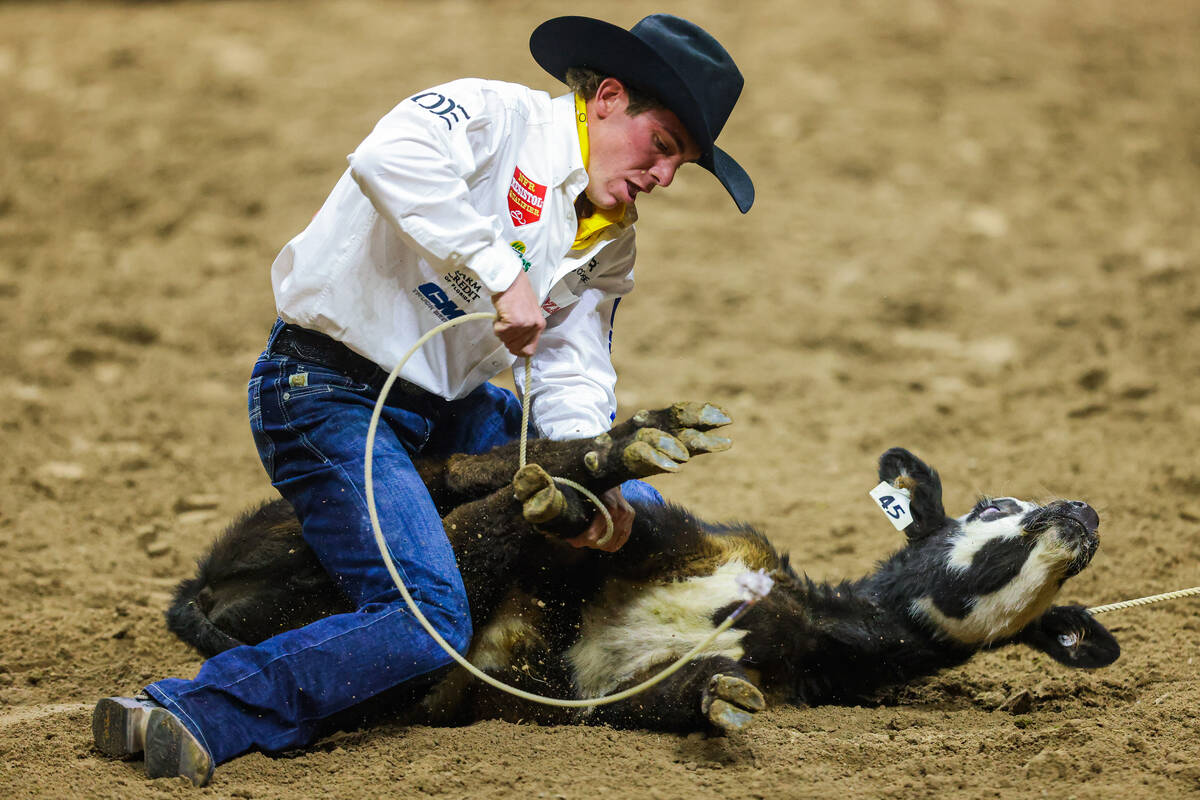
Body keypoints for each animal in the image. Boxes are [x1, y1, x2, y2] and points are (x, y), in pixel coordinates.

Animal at [164, 402, 1118, 734]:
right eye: (992, 509)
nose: (1081, 513)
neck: (793, 621)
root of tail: (202, 589)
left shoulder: (607, 692)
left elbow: (679, 697)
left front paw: (721, 703)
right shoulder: (692, 545)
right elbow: (620, 533)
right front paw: (591, 488)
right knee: (471, 498)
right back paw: (618, 449)